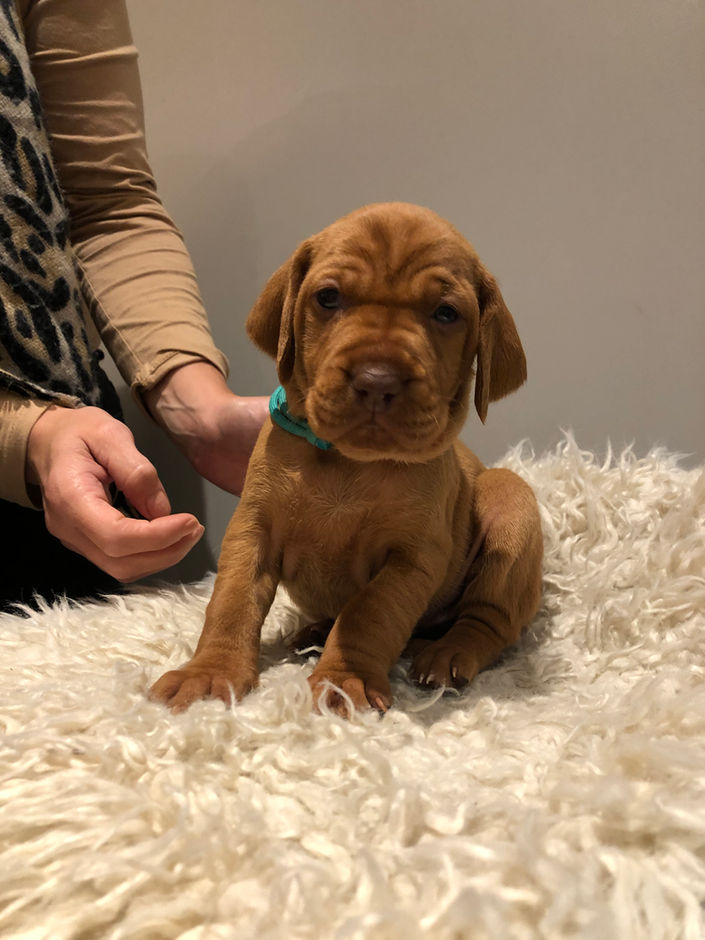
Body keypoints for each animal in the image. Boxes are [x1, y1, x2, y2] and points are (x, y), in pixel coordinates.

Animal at [150, 202, 543, 715]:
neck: (349, 463)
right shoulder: (252, 529)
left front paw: (343, 681)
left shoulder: (412, 557)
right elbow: (232, 600)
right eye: (328, 298)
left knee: (488, 619)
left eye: (446, 313)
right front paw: (210, 671)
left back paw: (448, 654)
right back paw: (314, 631)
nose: (377, 380)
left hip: (508, 504)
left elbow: (368, 613)